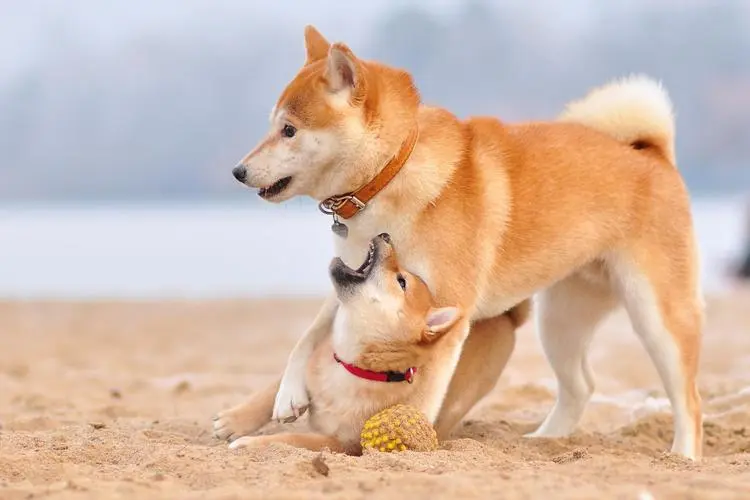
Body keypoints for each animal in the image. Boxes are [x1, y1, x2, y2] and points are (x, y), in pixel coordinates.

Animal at [214, 232, 468, 456]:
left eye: (401, 281)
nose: (385, 235)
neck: (348, 365)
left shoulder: (342, 443)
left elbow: (292, 439)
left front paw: (250, 444)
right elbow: (274, 389)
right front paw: (234, 421)